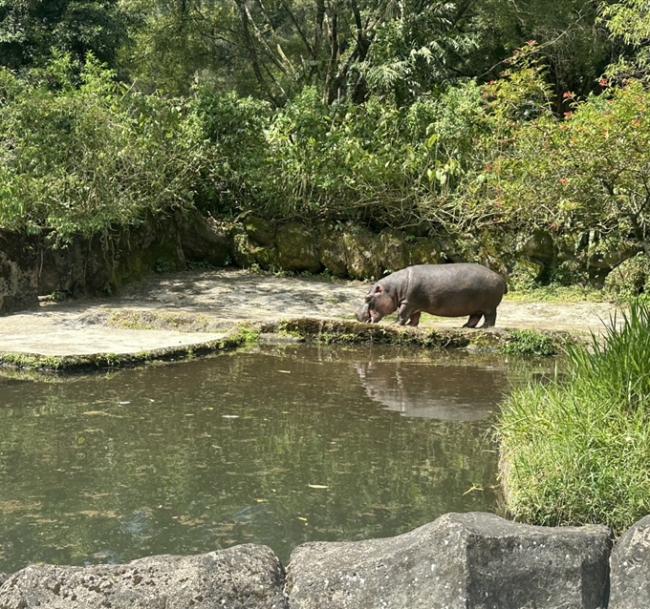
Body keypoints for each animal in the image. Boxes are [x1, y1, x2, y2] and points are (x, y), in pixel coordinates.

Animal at [354, 262, 506, 328]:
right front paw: (411, 326)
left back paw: (484, 328)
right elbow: (415, 316)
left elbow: (402, 314)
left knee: (490, 318)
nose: (356, 315)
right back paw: (465, 326)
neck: (394, 289)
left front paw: (395, 324)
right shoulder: (414, 304)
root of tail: (500, 278)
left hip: (489, 307)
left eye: (367, 298)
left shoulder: (407, 302)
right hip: (476, 307)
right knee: (475, 317)